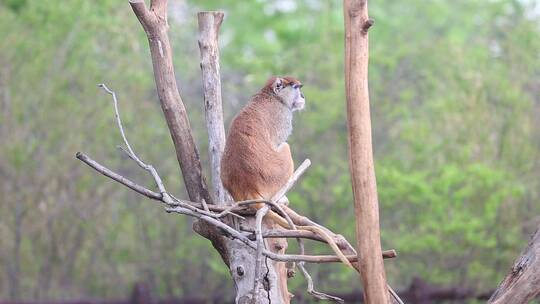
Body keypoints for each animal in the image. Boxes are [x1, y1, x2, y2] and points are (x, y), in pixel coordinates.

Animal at [221, 75, 352, 268]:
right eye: (297, 88)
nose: (303, 96)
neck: (271, 96)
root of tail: (247, 186)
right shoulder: (283, 117)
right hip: (275, 174)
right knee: (285, 148)